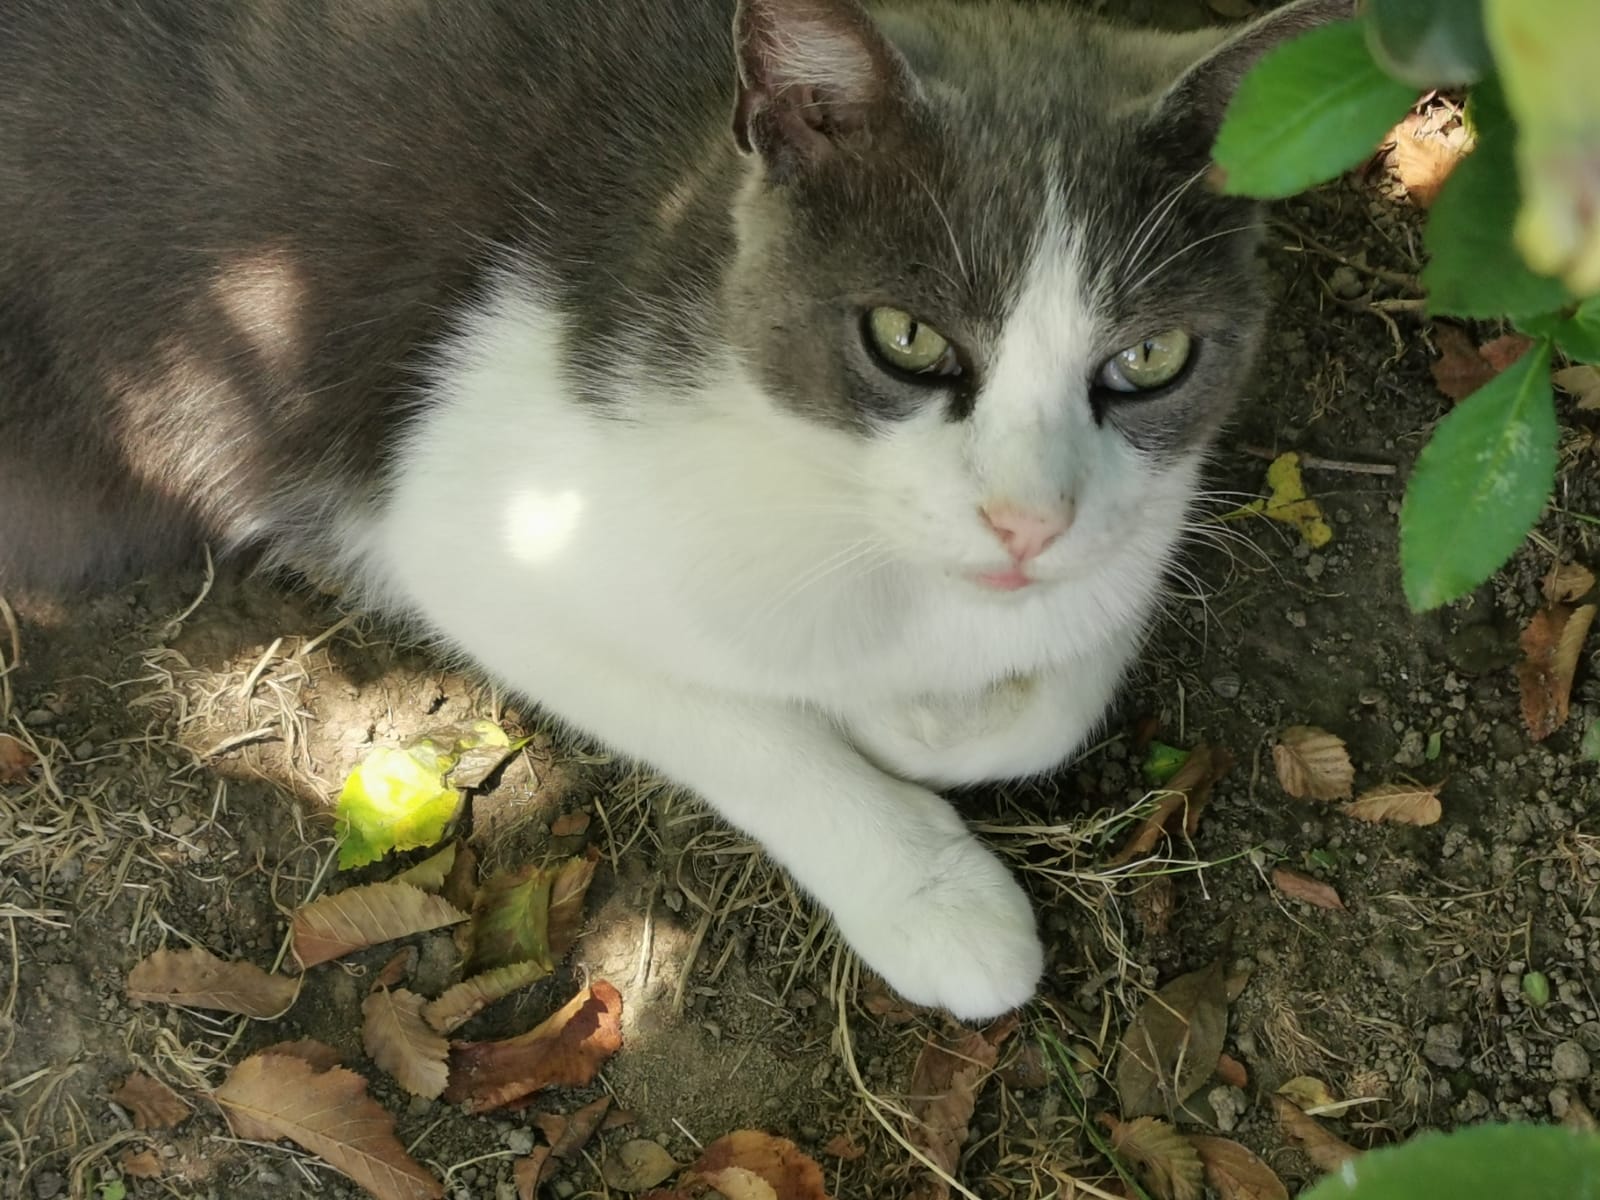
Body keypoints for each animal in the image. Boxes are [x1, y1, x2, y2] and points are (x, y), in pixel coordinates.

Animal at [0, 2, 1350, 1024]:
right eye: (907, 339)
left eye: (1151, 358)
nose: (1025, 522)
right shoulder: (471, 525)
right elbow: (739, 722)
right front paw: (927, 882)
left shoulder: (1136, 524)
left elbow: (1051, 688)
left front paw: (922, 709)